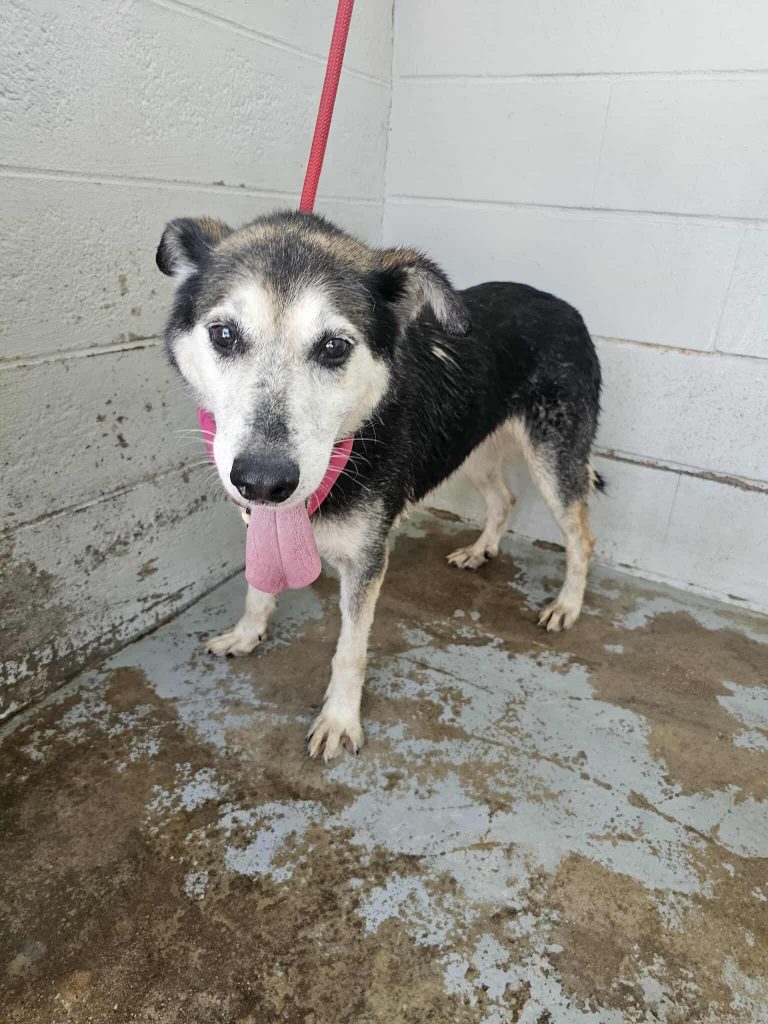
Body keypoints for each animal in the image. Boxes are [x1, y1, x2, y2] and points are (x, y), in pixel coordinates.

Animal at [156, 211, 603, 759]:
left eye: (334, 346)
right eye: (223, 334)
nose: (262, 482)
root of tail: (563, 305)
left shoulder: (367, 559)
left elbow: (350, 649)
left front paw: (339, 720)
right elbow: (258, 587)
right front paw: (247, 635)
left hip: (552, 459)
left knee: (580, 536)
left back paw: (567, 606)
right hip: (467, 446)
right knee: (504, 498)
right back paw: (480, 551)